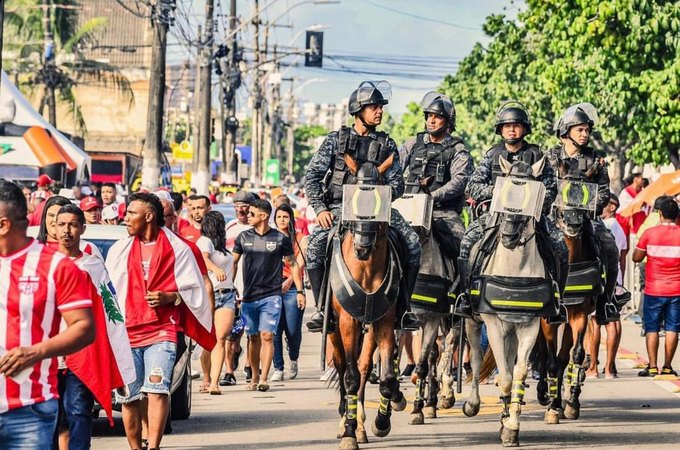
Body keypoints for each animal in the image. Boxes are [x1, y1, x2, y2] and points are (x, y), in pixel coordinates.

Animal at [330, 153, 406, 448]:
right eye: (349, 197)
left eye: (381, 200)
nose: (362, 247)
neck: (366, 268)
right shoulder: (348, 321)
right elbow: (349, 376)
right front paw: (349, 432)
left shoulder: (383, 322)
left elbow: (384, 377)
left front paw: (380, 421)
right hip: (334, 329)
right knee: (342, 365)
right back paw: (345, 419)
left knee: (363, 367)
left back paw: (361, 423)